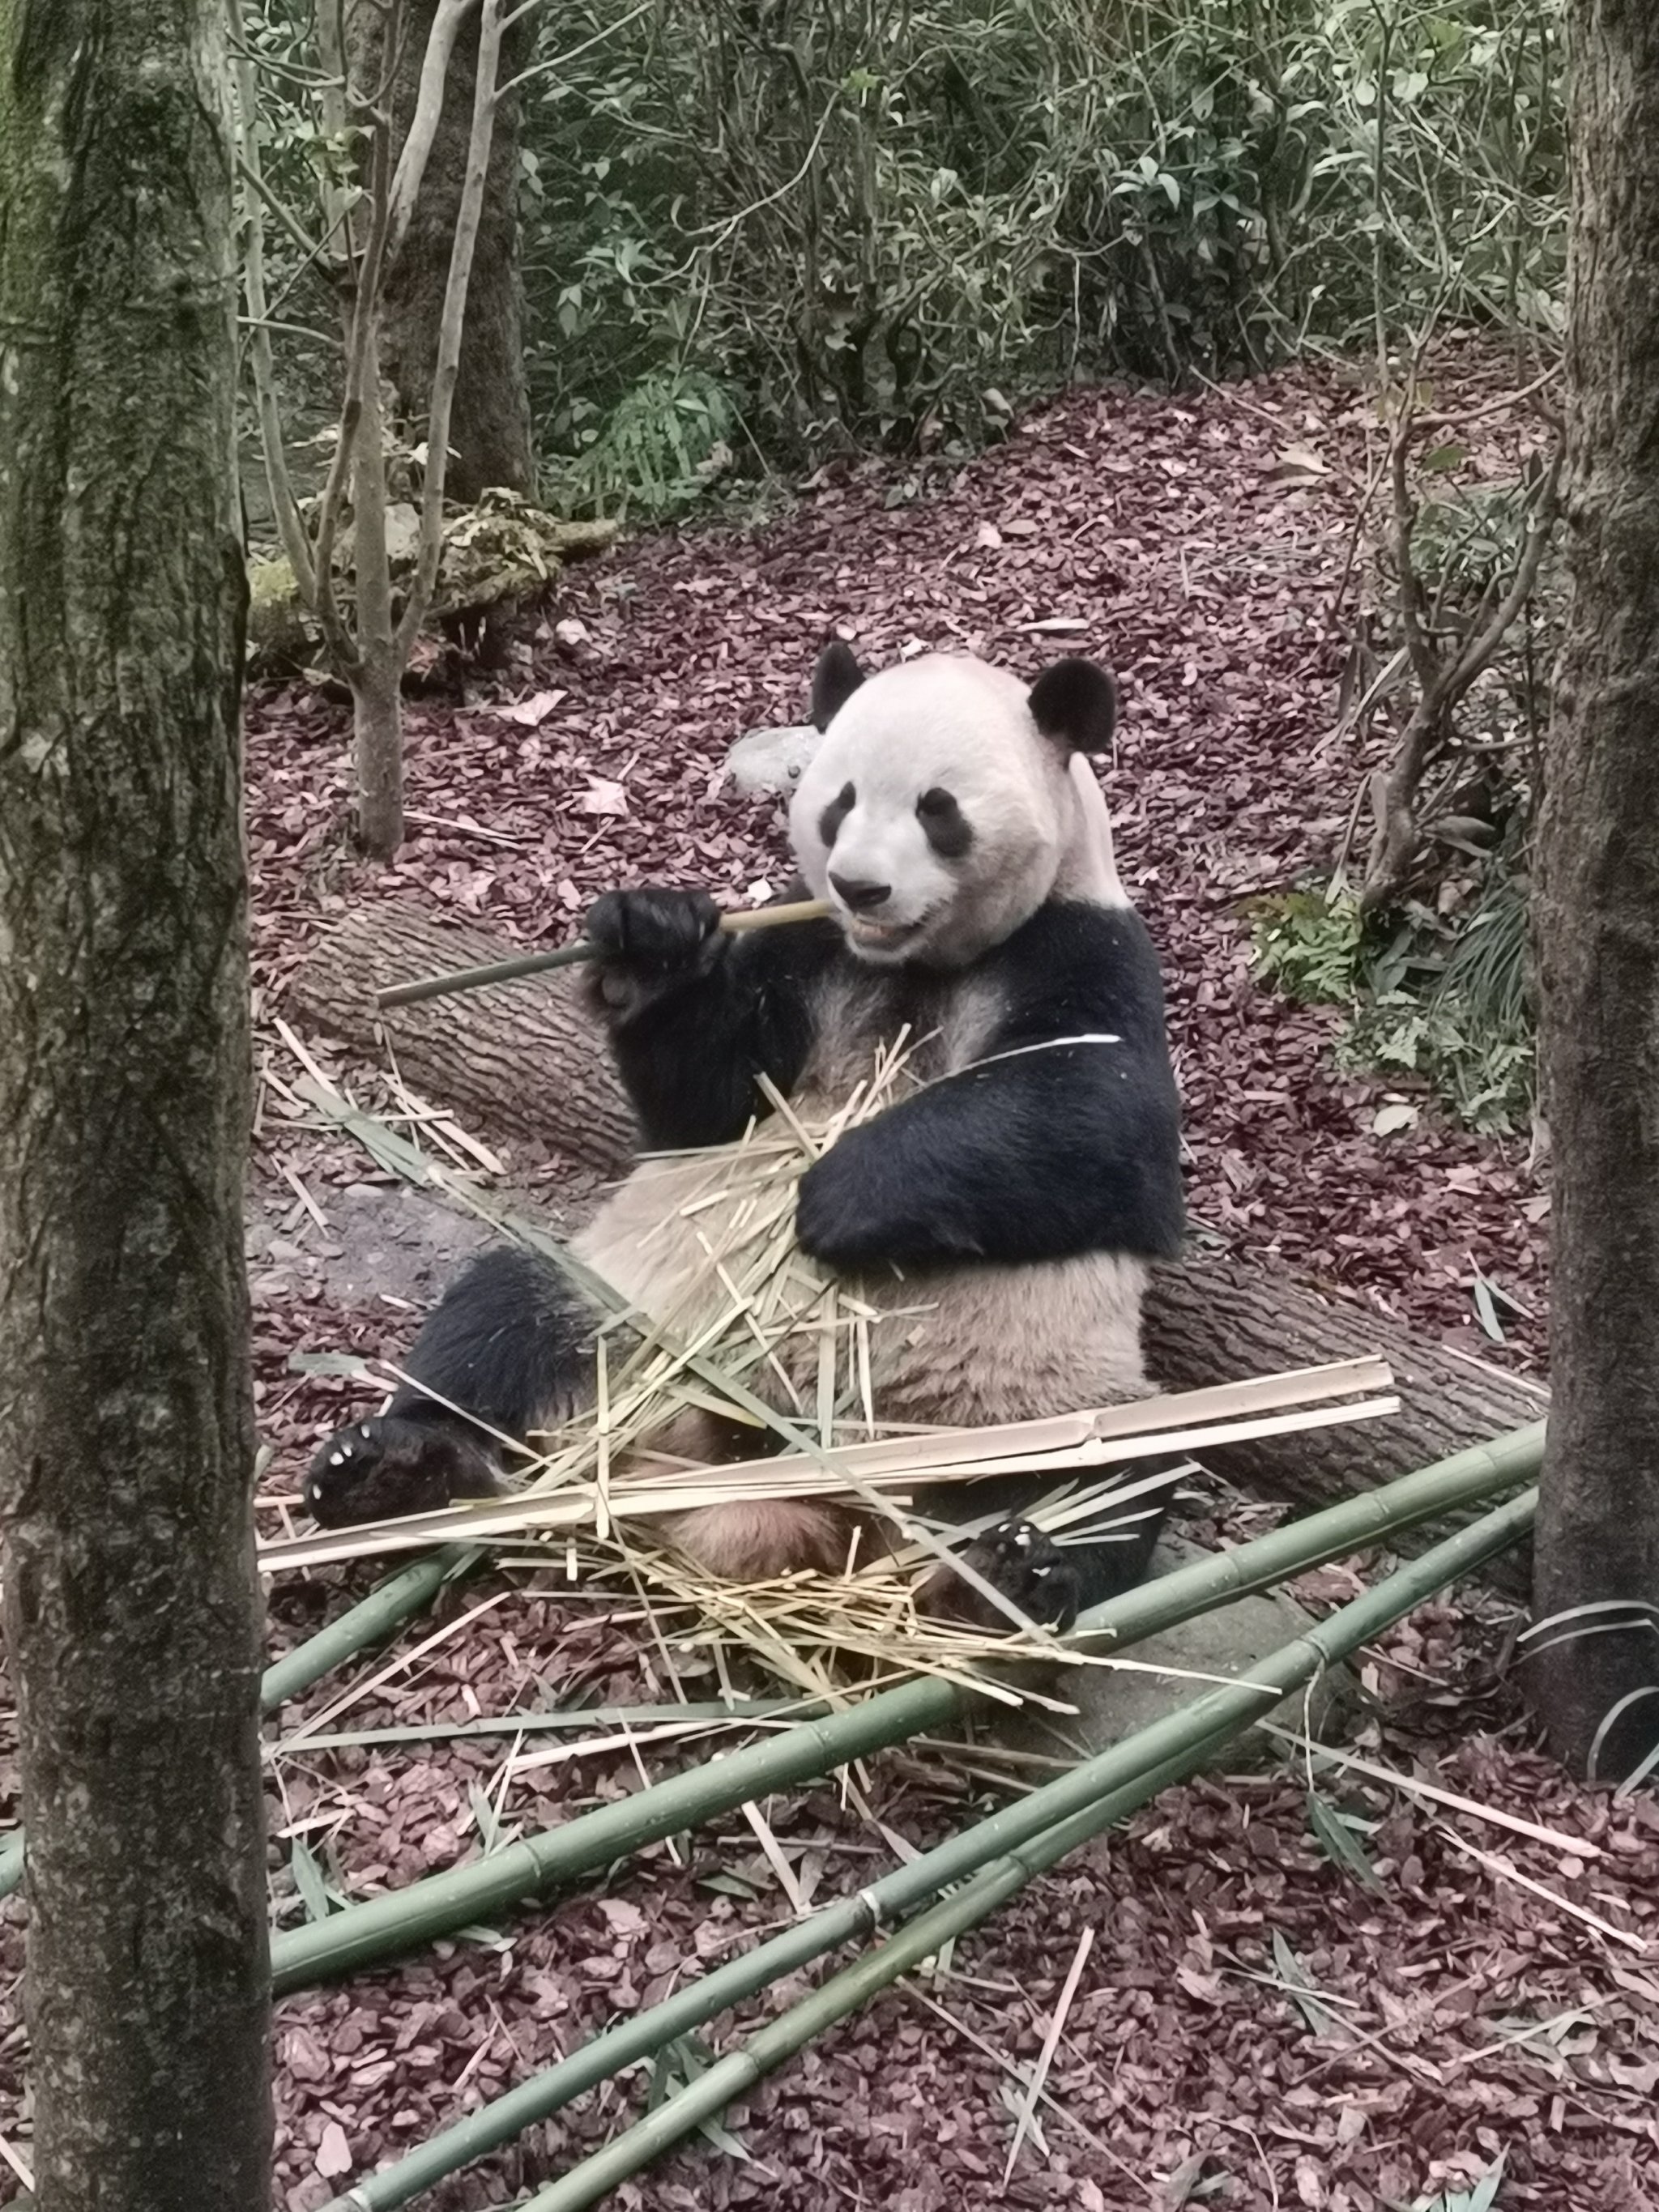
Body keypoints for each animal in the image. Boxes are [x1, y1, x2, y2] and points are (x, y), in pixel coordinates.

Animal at [305, 641, 1185, 1628]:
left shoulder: (1082, 945)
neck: (907, 963)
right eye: (838, 800)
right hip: (635, 1314)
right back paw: (392, 1470)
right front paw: (651, 940)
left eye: (938, 808)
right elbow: (705, 1109)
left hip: (1025, 1396)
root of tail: (770, 1496)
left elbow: (1103, 1126)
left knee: (1114, 1472)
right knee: (504, 1314)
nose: (859, 885)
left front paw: (841, 1197)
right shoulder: (806, 950)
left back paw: (1015, 1572)